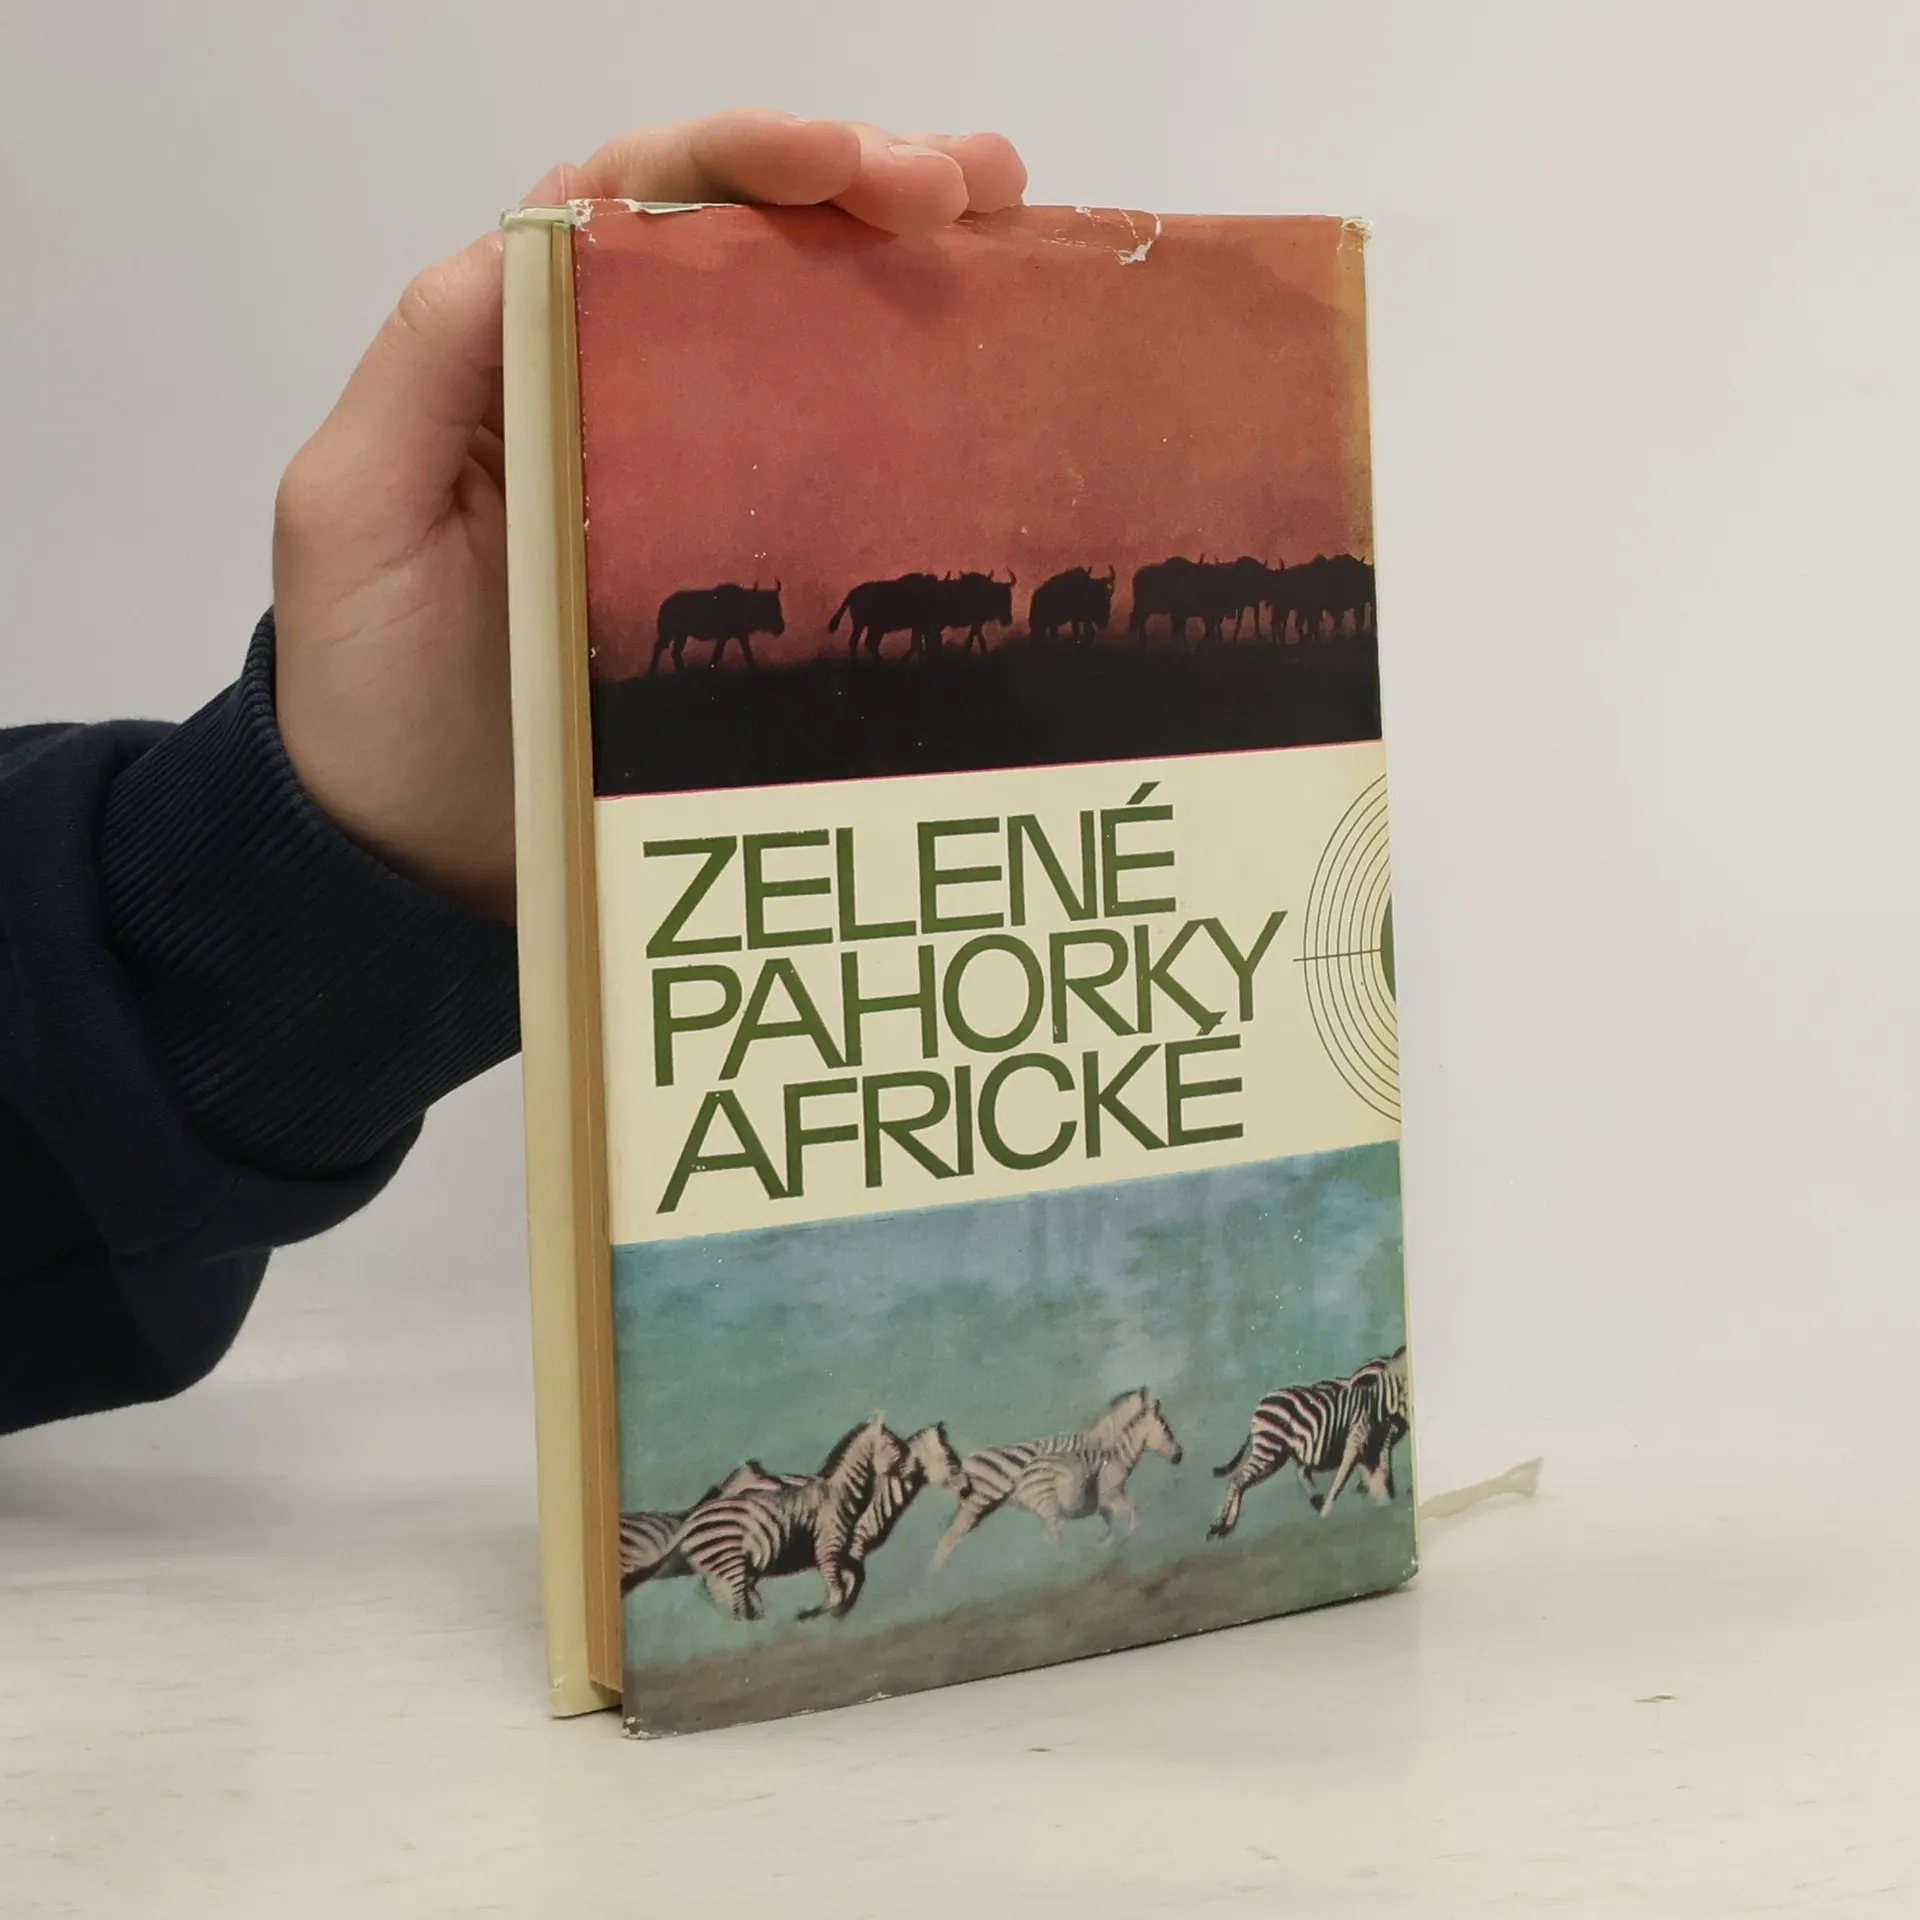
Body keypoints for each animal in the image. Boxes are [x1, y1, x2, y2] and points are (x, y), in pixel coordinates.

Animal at [650, 582, 783, 672]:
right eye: (766, 606)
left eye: (778, 606)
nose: (781, 627)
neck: (746, 602)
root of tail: (664, 605)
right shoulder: (725, 636)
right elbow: (719, 655)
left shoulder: (739, 636)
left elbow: (747, 654)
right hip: (669, 634)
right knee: (659, 647)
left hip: (681, 635)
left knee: (675, 652)